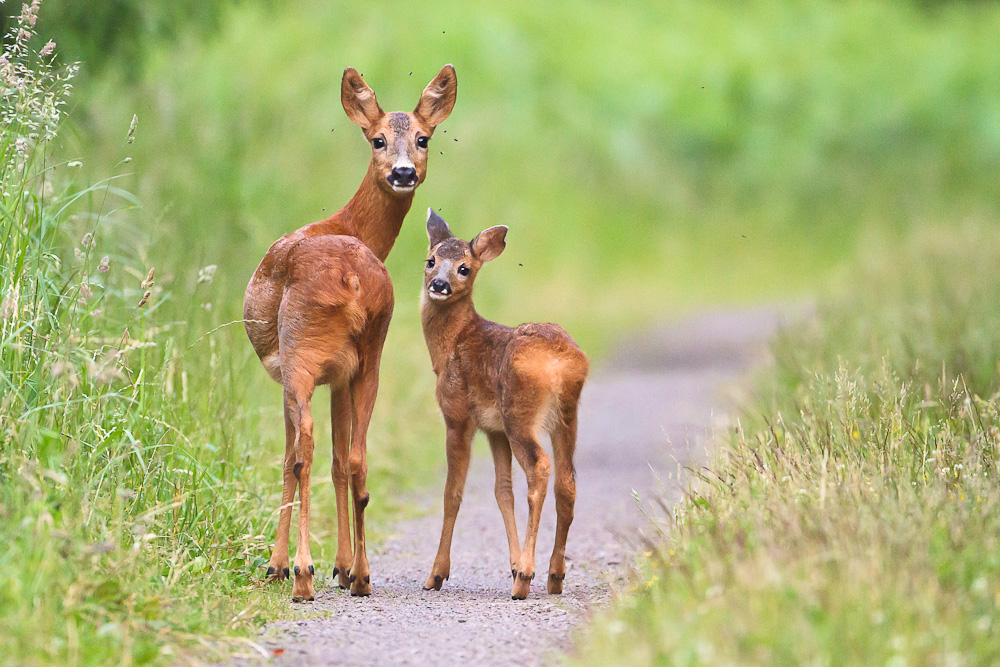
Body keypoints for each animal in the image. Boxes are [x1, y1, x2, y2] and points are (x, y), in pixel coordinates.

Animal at [246, 66, 458, 600]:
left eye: (423, 138)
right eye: (378, 139)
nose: (403, 172)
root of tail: (354, 280)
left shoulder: (295, 373)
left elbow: (293, 455)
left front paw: (280, 565)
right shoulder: (341, 375)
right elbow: (342, 460)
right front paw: (342, 566)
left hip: (300, 351)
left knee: (303, 449)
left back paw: (302, 574)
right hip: (372, 354)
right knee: (358, 454)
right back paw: (361, 576)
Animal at [420, 210, 588, 600]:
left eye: (464, 268)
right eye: (431, 260)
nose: (439, 284)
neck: (451, 344)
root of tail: (561, 360)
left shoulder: (458, 417)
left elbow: (453, 492)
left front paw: (437, 574)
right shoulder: (493, 430)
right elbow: (502, 492)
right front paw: (510, 562)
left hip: (520, 414)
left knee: (540, 468)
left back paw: (526, 577)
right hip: (566, 417)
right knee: (567, 480)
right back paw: (553, 576)